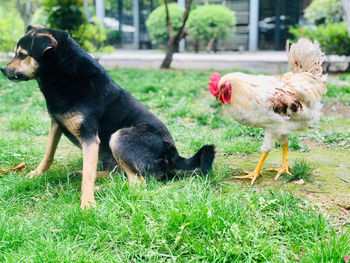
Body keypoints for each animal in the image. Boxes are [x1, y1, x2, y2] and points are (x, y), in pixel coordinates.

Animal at [0, 25, 215, 209]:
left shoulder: (89, 137)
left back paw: (101, 189)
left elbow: (87, 178)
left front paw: (87, 203)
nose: (2, 69)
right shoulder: (56, 124)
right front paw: (34, 174)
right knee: (117, 173)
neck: (61, 73)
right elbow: (48, 155)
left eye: (21, 55)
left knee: (137, 182)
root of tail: (175, 156)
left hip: (119, 137)